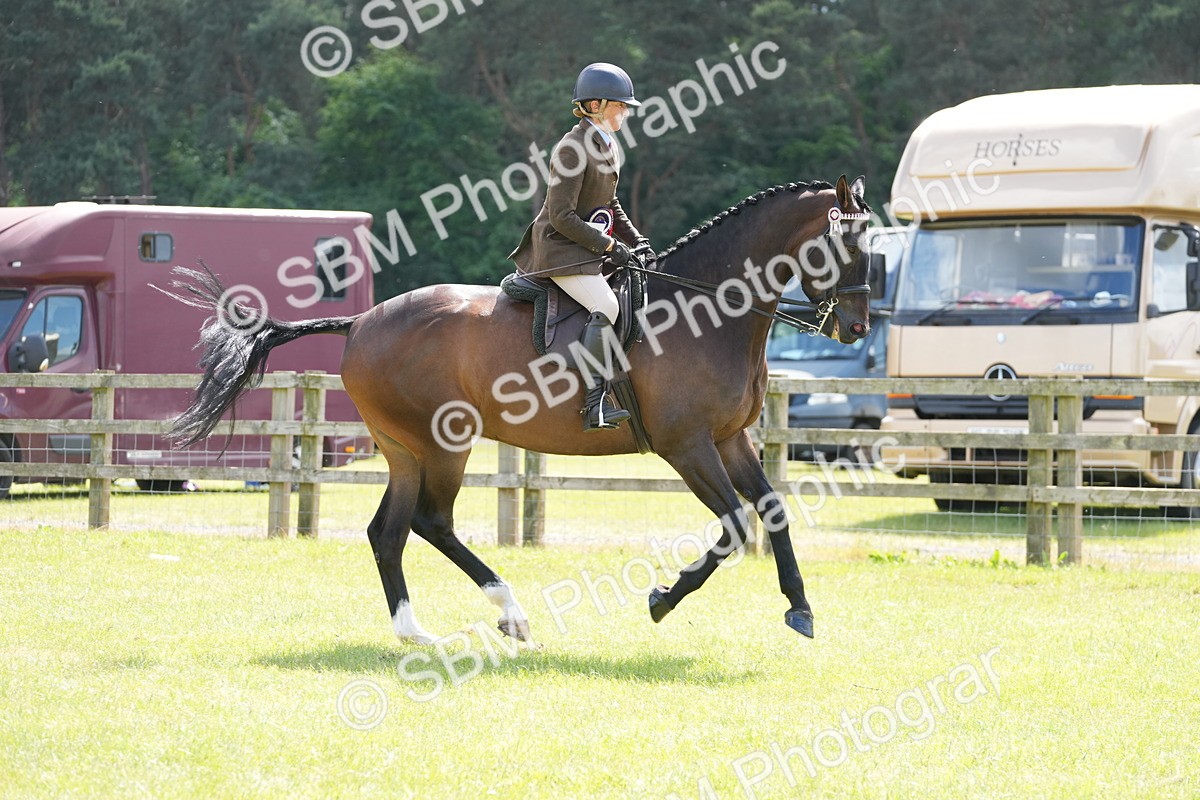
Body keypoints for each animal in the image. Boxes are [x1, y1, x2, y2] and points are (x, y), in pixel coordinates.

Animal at [166, 174, 873, 644]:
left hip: (404, 449)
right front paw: (662, 600)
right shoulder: (687, 445)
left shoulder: (730, 439)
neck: (708, 310)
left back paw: (416, 633)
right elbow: (732, 525)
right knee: (430, 522)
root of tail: (361, 321)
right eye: (846, 247)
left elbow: (771, 510)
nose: (857, 327)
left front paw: (800, 610)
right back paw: (509, 613)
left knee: (389, 532)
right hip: (443, 443)